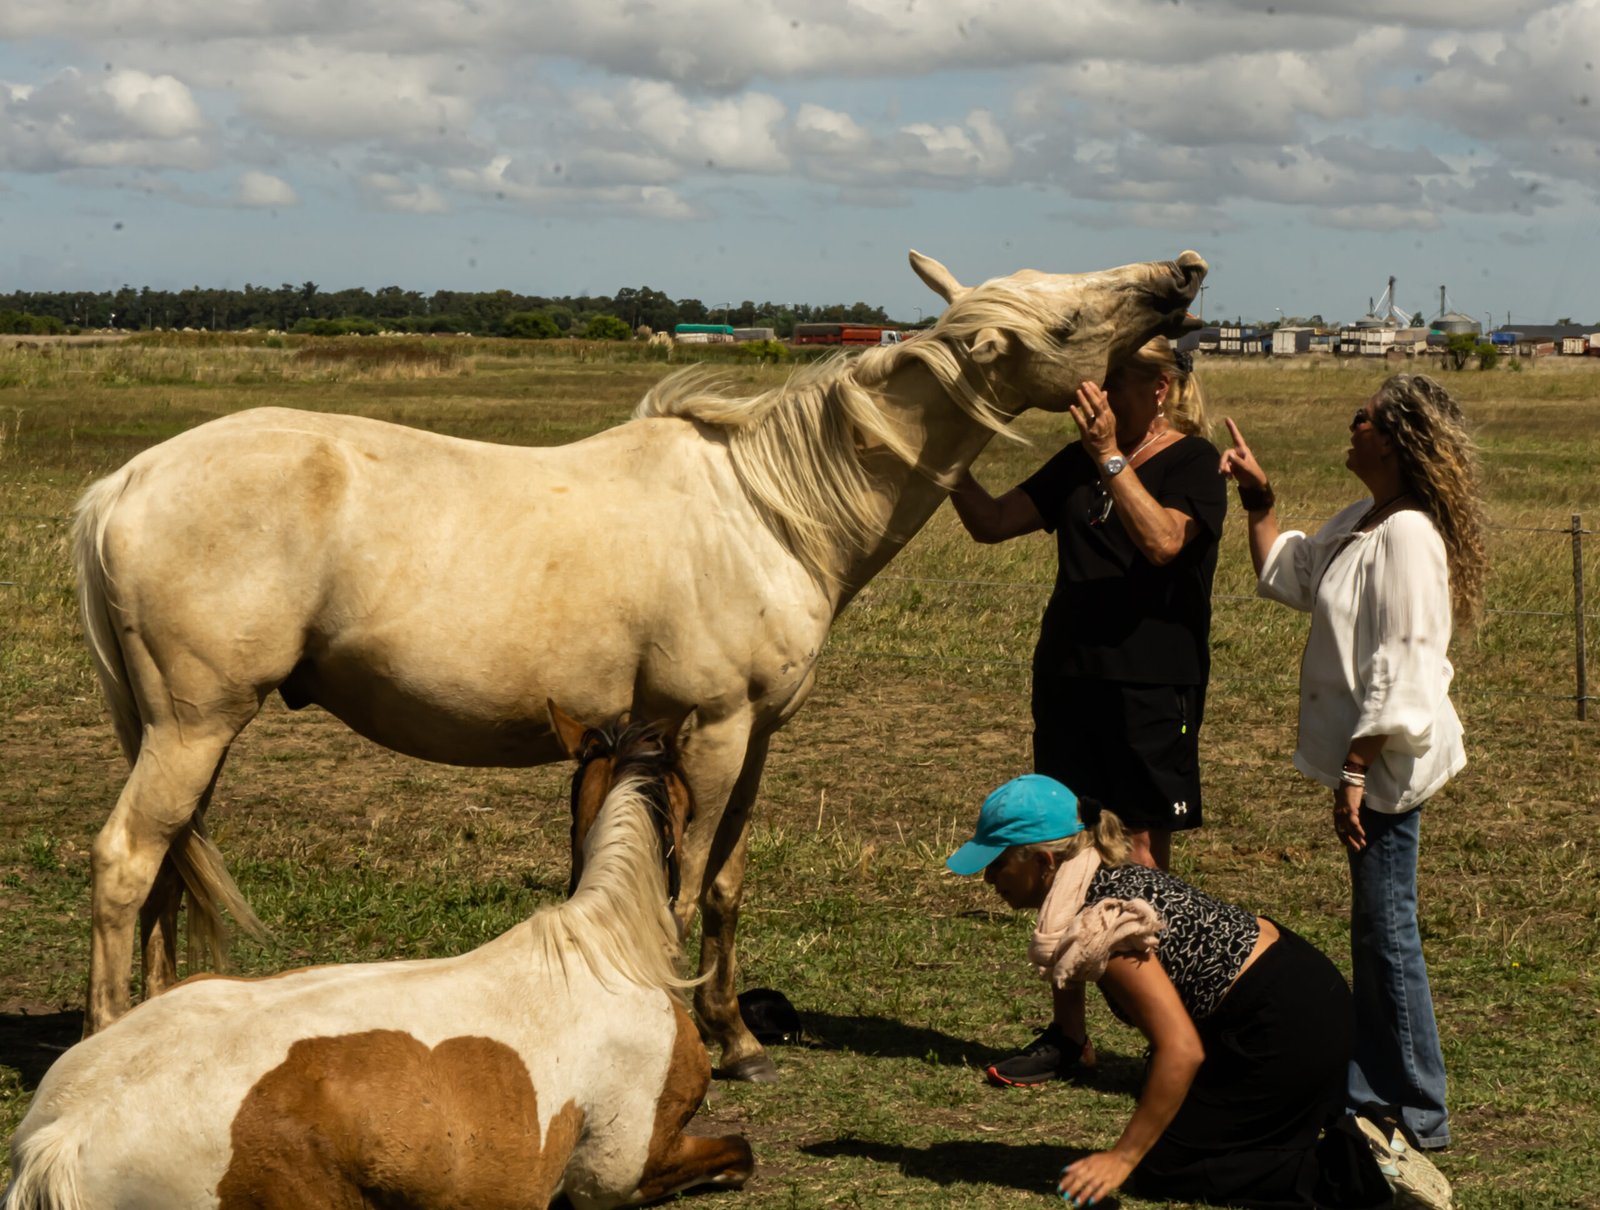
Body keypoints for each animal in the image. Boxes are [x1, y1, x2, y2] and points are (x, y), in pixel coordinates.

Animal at [70, 247, 1207, 1078]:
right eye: (1063, 323)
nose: (1183, 271)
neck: (766, 513)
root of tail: (125, 482)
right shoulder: (710, 734)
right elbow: (677, 883)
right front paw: (684, 1034)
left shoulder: (755, 740)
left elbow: (726, 884)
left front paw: (740, 1039)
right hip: (193, 724)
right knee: (126, 861)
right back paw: (105, 1035)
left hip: (188, 732)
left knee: (164, 867)